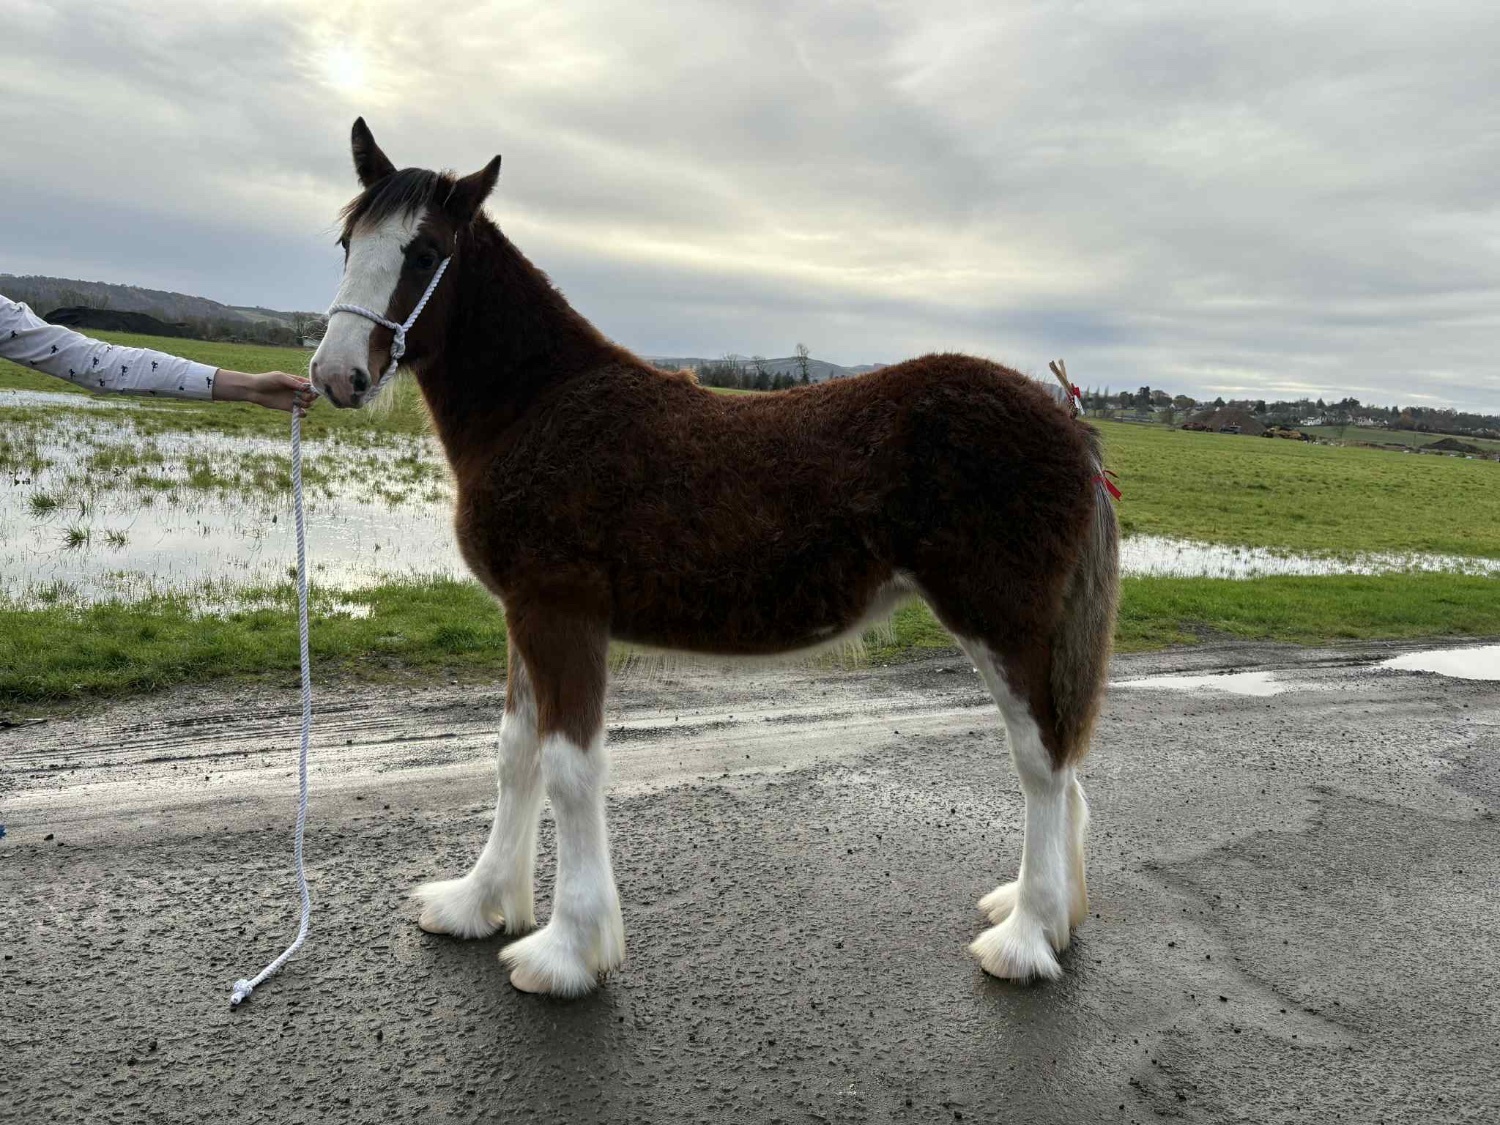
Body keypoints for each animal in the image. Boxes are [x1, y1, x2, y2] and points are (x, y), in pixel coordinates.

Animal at [310, 118, 1120, 996]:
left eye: (423, 252)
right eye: (346, 241)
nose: (335, 375)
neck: (538, 407)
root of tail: (1066, 422)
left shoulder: (561, 615)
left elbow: (568, 770)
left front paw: (566, 951)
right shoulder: (524, 619)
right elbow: (513, 755)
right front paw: (477, 901)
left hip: (1003, 624)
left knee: (1042, 762)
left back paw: (1026, 935)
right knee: (1062, 761)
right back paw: (1047, 911)